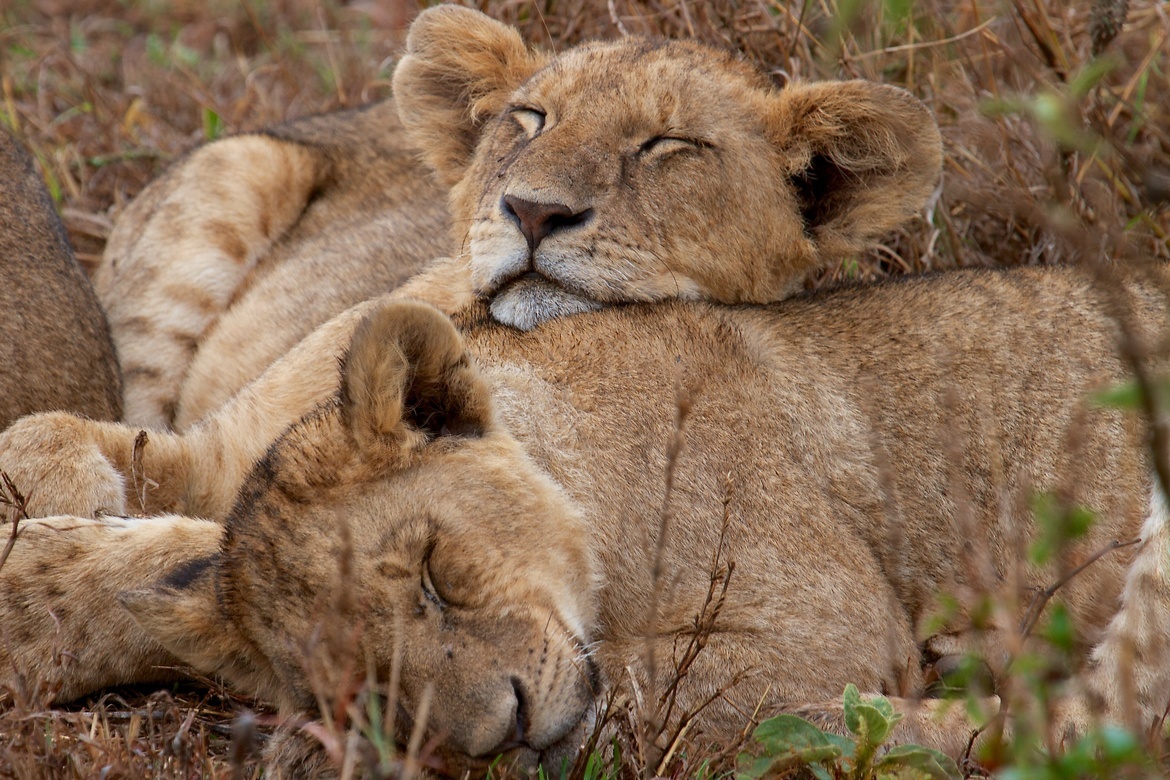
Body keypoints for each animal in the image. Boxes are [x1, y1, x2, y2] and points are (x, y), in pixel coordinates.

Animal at [2, 266, 1169, 773]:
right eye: (364, 689)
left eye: (436, 574)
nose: (504, 725)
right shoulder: (220, 449)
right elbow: (99, 466)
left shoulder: (818, 624)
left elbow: (694, 691)